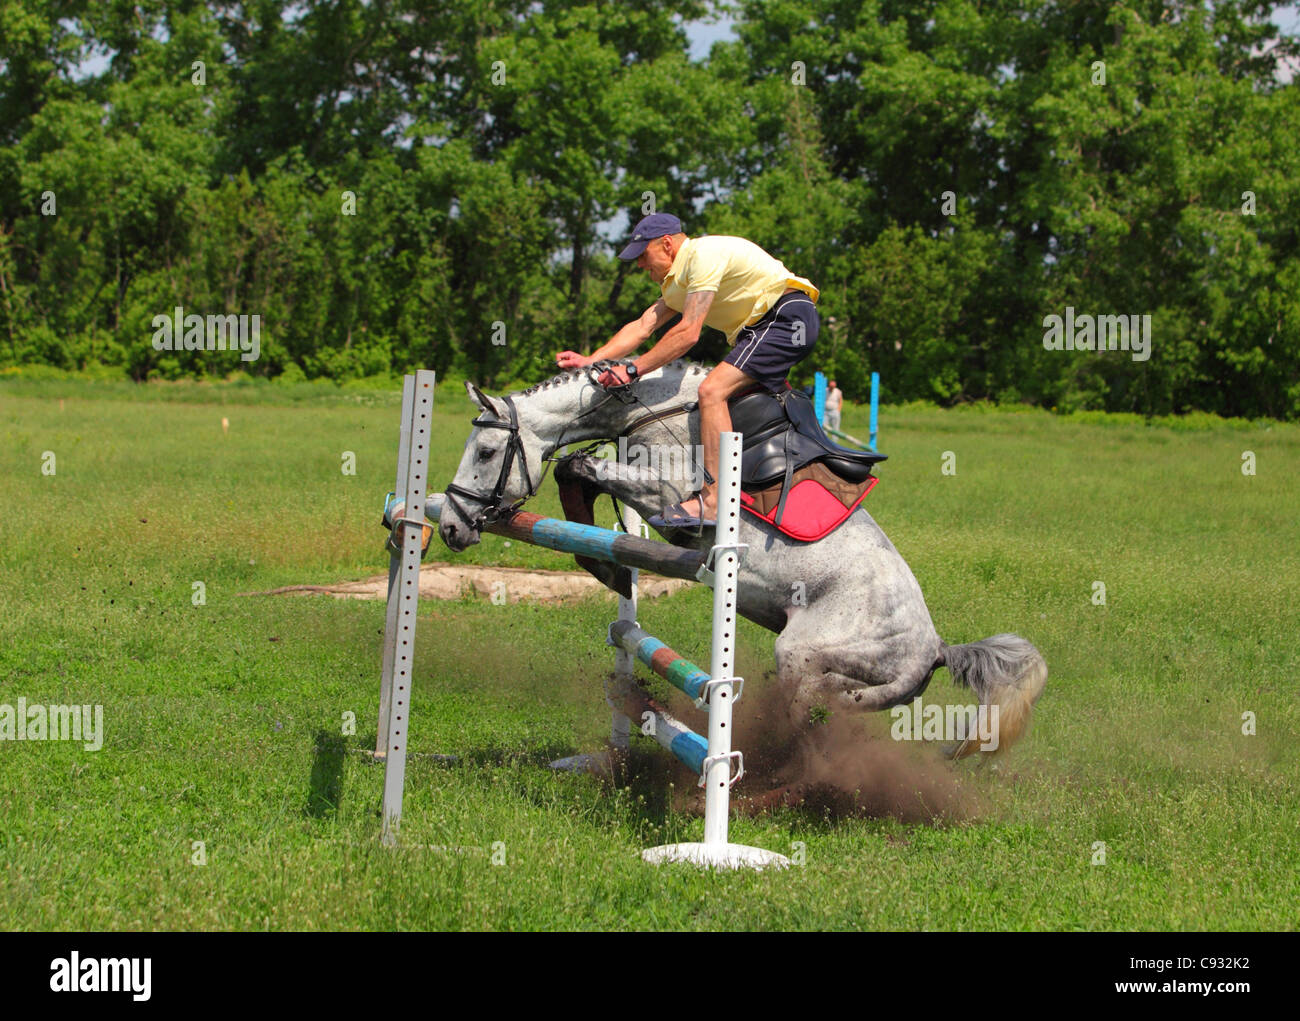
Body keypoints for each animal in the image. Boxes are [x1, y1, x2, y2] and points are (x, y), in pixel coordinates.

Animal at [436, 361, 1047, 770]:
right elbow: (578, 472)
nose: (450, 527)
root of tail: (936, 649)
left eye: (486, 453)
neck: (654, 409)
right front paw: (606, 565)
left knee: (807, 719)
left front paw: (602, 559)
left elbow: (581, 468)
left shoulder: (663, 496)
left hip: (805, 655)